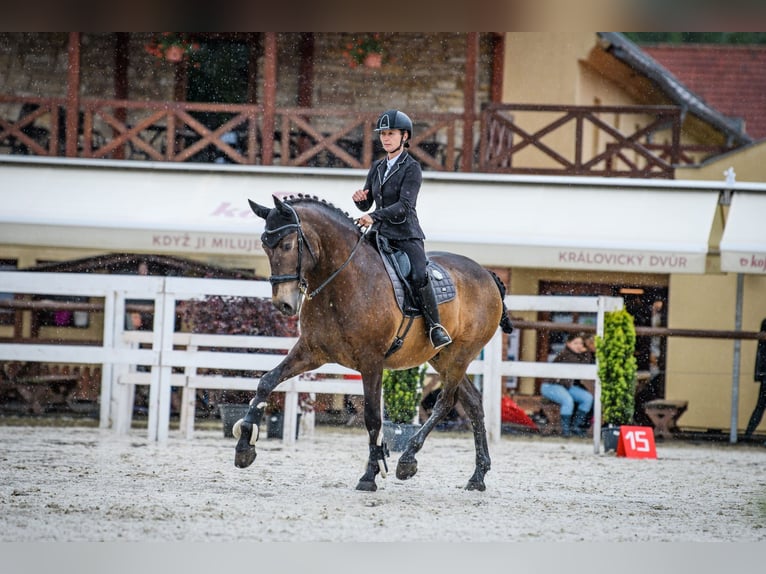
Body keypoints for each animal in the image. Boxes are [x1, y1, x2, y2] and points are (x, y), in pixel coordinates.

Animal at [237, 196, 512, 492]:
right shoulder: (311, 352)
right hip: (443, 358)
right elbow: (266, 381)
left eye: (287, 245)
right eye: (265, 245)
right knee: (473, 403)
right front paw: (244, 446)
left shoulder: (371, 362)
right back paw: (478, 476)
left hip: (461, 354)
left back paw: (408, 460)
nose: (283, 304)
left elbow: (372, 417)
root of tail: (487, 274)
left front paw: (370, 474)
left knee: (445, 402)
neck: (342, 281)